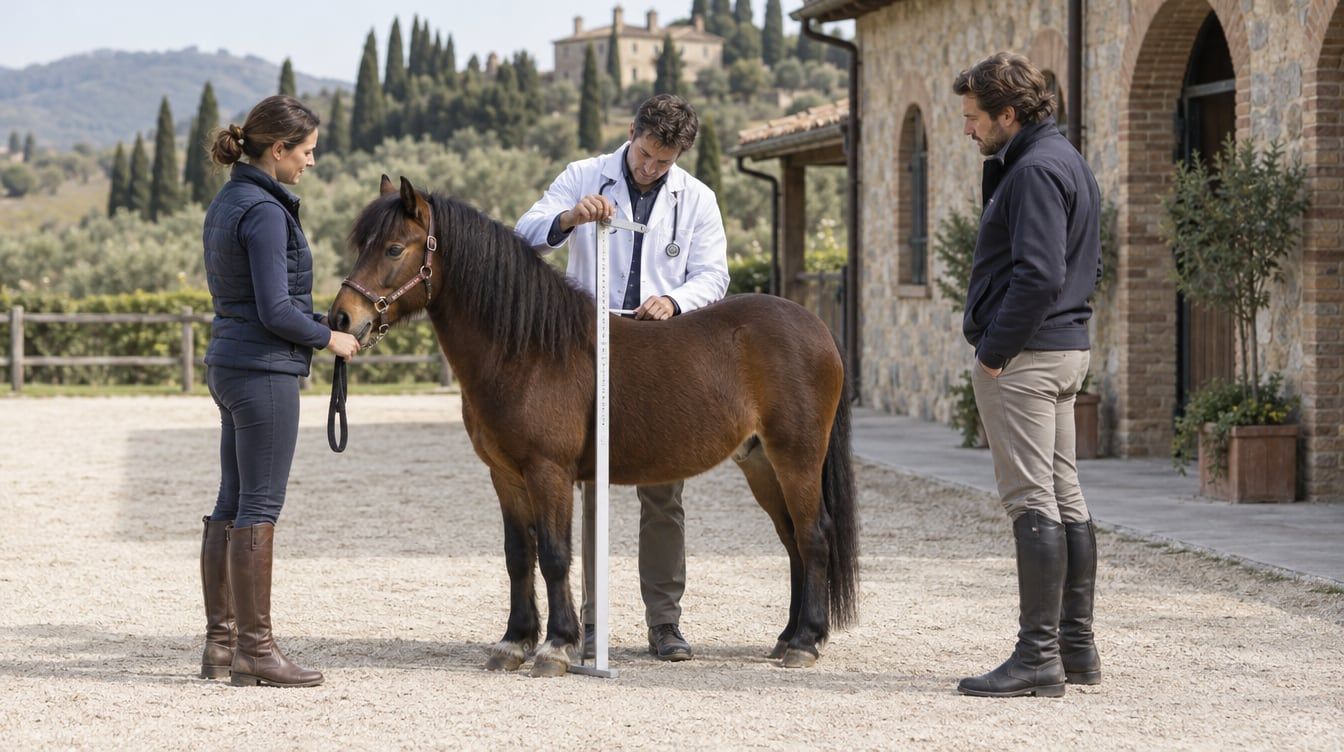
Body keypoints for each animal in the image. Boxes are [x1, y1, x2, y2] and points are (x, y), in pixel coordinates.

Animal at [330, 175, 858, 677]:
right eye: (362, 245)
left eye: (394, 248)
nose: (340, 318)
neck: (529, 350)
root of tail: (817, 327)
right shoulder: (504, 475)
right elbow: (518, 555)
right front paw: (514, 641)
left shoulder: (549, 472)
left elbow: (554, 554)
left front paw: (557, 647)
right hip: (760, 463)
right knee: (792, 541)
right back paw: (786, 638)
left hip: (796, 458)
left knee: (814, 535)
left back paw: (805, 643)